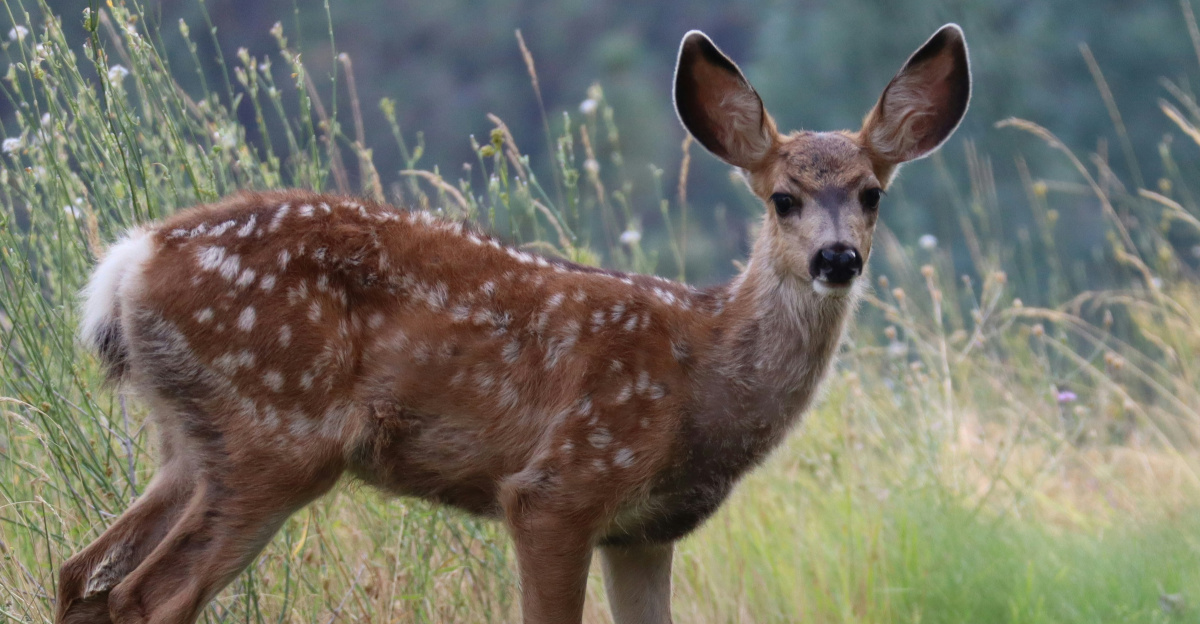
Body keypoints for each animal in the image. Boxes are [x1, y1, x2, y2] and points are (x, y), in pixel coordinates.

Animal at [57, 24, 969, 624]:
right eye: (782, 198)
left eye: (871, 194)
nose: (837, 259)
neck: (701, 374)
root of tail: (129, 263)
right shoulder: (562, 483)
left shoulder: (644, 530)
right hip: (275, 433)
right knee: (145, 597)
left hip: (189, 440)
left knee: (81, 576)